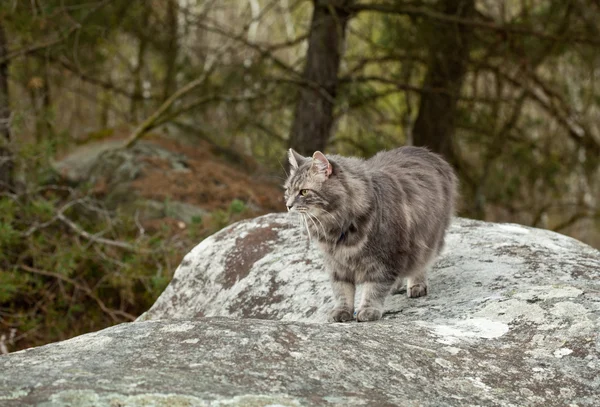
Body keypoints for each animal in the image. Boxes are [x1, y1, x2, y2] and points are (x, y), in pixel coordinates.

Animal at [284, 148, 458, 324]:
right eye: (288, 191)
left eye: (304, 192)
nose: (288, 205)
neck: (339, 229)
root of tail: (427, 152)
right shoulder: (337, 265)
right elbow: (342, 292)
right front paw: (342, 311)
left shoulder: (383, 260)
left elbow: (373, 290)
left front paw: (368, 310)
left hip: (428, 239)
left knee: (421, 264)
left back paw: (416, 285)